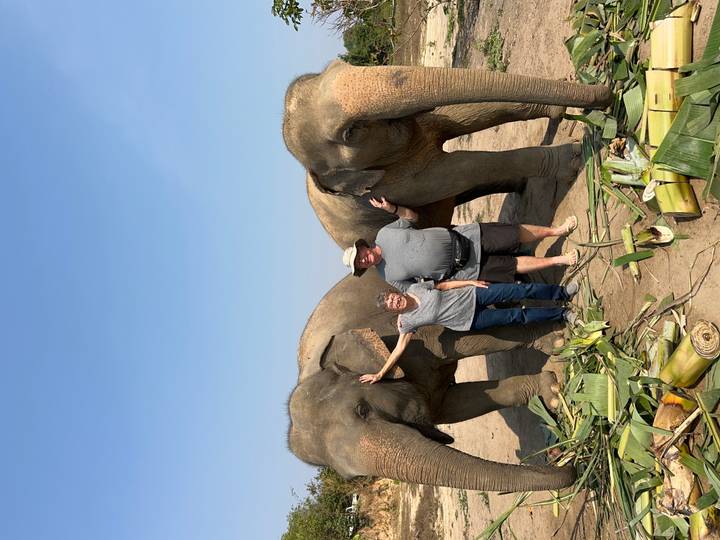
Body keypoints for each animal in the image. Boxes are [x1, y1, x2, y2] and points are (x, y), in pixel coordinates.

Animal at [283, 60, 612, 247]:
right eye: (350, 133)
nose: (607, 91)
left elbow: (465, 116)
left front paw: (558, 108)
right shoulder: (388, 186)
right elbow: (463, 167)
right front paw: (574, 156)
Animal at [288, 269, 575, 492]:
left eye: (362, 410)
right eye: (352, 476)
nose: (559, 457)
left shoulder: (405, 333)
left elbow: (460, 339)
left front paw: (557, 342)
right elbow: (457, 405)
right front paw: (551, 393)